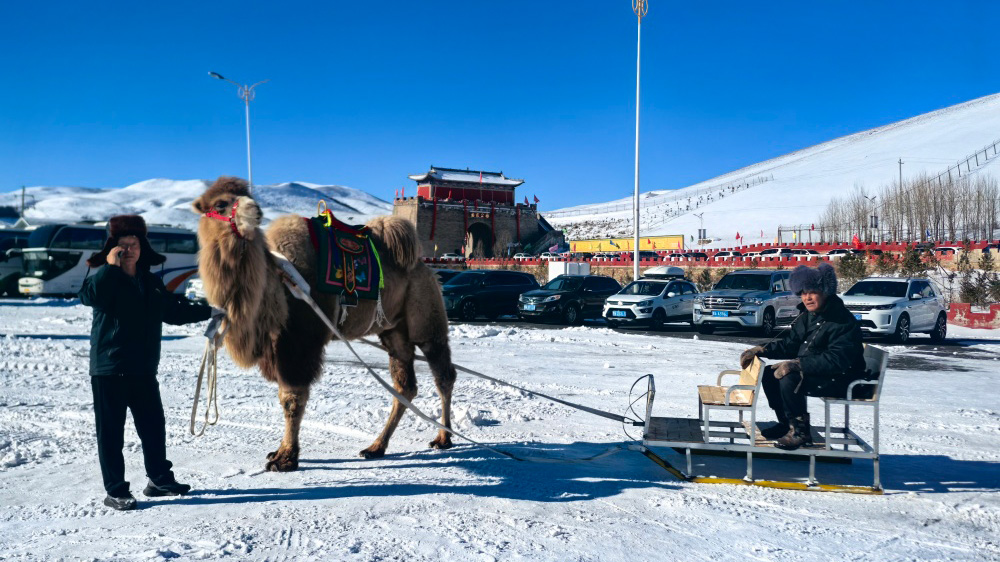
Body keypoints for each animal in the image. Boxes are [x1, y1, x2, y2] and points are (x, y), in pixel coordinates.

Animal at [193, 175, 458, 468]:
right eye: (220, 203)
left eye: (250, 197)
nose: (255, 211)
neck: (280, 286)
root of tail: (426, 266)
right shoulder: (279, 343)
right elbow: (287, 397)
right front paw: (280, 453)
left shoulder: (299, 340)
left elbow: (291, 398)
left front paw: (285, 458)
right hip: (393, 330)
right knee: (405, 387)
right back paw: (376, 447)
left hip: (426, 316)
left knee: (443, 374)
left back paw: (443, 438)